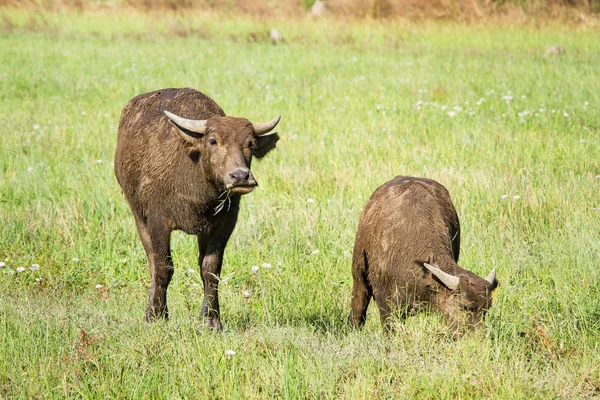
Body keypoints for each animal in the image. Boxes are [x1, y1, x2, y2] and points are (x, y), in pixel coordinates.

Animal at [115, 89, 282, 330]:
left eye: (250, 143)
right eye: (213, 141)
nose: (240, 176)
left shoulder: (223, 223)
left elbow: (210, 269)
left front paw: (211, 319)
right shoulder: (158, 221)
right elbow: (163, 267)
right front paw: (155, 316)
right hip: (138, 216)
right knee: (153, 263)